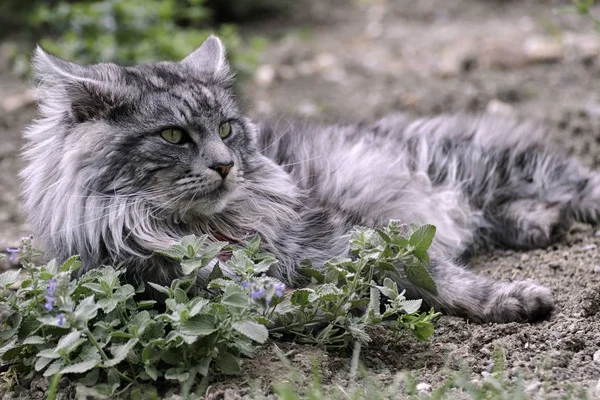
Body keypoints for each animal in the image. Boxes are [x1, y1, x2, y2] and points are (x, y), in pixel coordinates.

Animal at [19, 36, 600, 324]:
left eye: (226, 128)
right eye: (174, 136)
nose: (225, 164)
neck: (206, 232)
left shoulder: (352, 240)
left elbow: (443, 278)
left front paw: (514, 299)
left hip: (493, 164)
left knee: (574, 182)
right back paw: (536, 225)